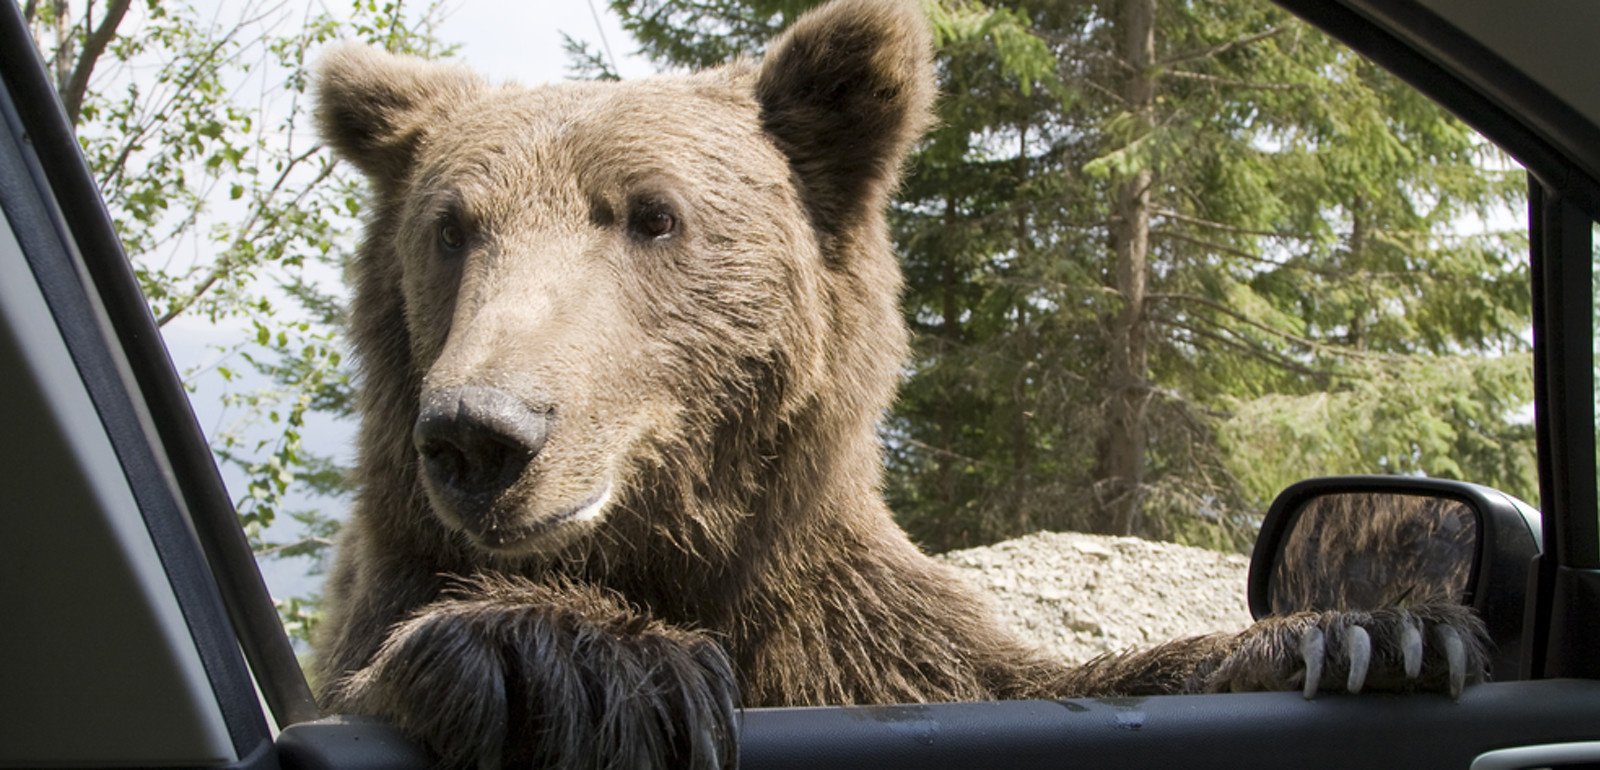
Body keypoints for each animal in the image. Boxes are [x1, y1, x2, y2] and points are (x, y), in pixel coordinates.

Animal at [308, 3, 1484, 765]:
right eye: (452, 227)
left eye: (651, 214)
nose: (482, 431)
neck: (669, 549)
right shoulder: (395, 587)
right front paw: (575, 659)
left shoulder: (848, 630)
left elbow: (1025, 677)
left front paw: (1364, 632)